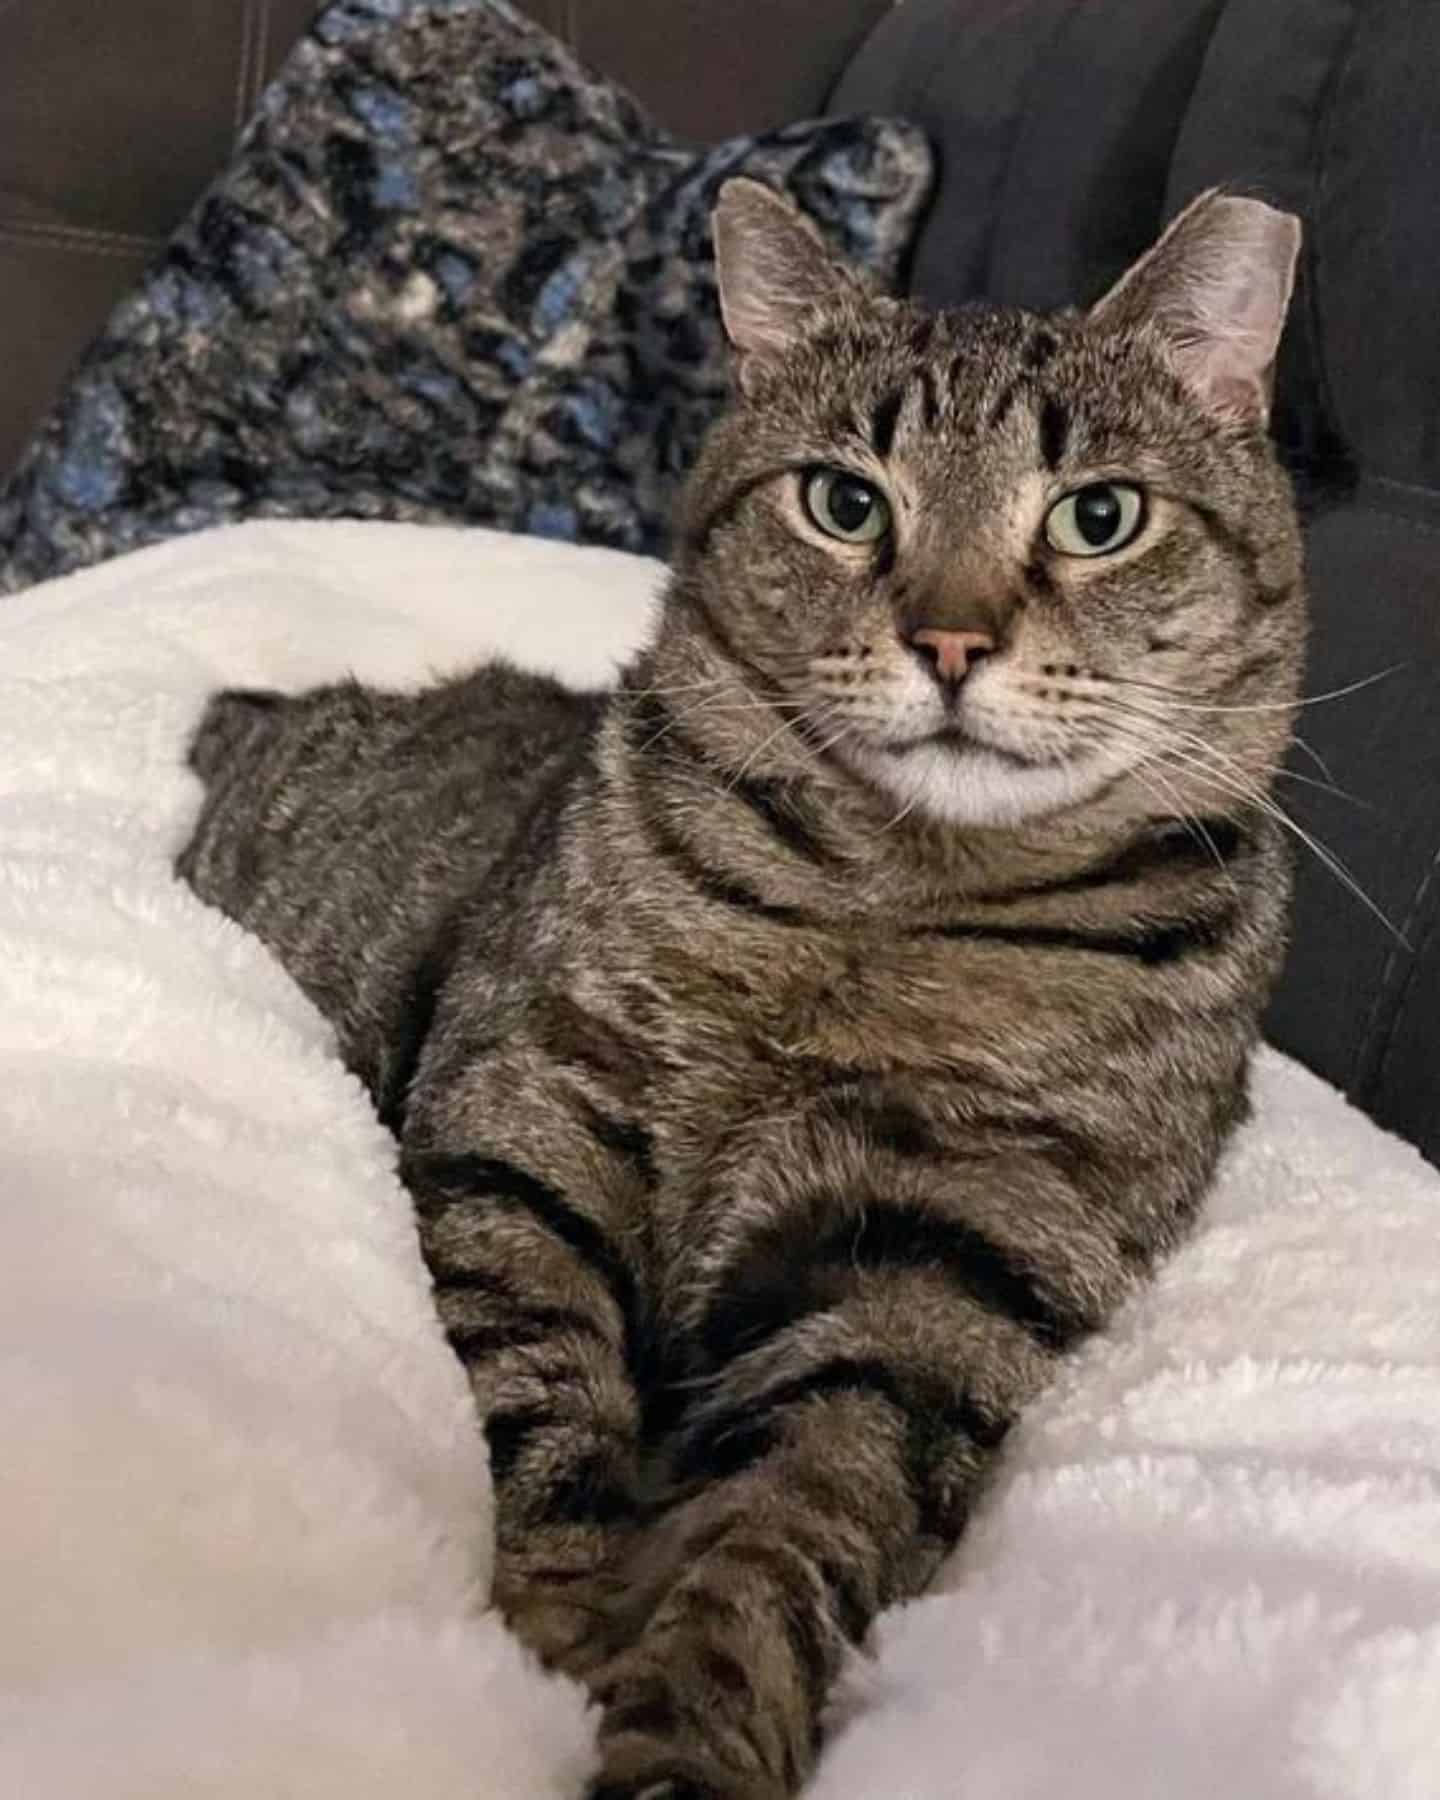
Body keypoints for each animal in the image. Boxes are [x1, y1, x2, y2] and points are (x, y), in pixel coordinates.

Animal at [177, 179, 1303, 1800]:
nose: (950, 639)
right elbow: (539, 1384)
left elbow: (788, 1532)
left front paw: (692, 1732)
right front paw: (552, 1636)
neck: (888, 909)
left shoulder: (942, 1271)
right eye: (845, 501)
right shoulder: (529, 1109)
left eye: (1100, 516)